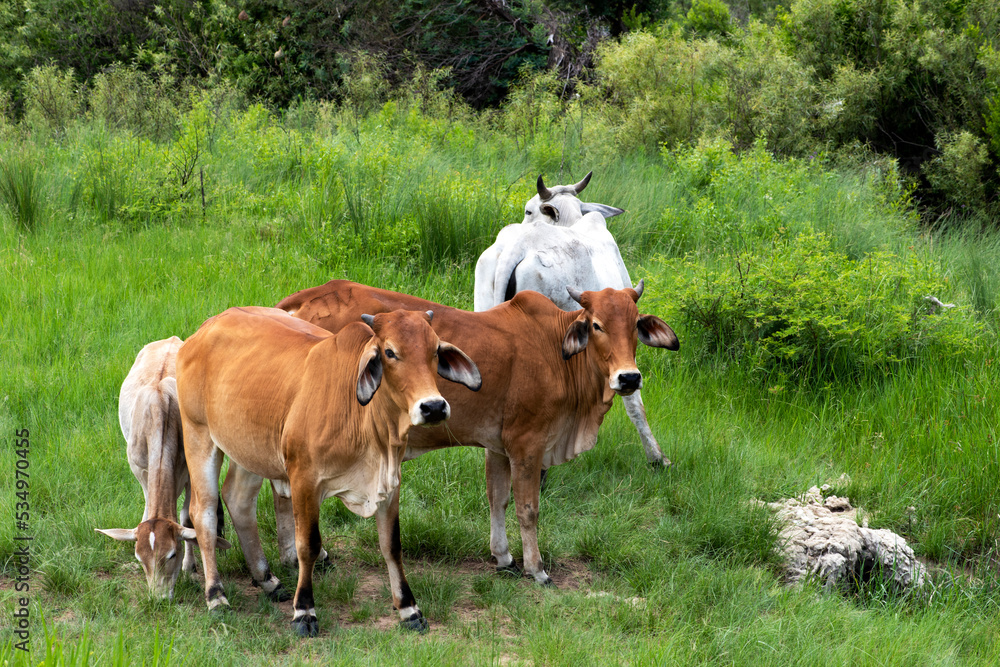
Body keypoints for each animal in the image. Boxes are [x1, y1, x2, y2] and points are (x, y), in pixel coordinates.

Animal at [96, 337, 232, 600]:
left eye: (171, 554)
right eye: (140, 558)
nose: (158, 598)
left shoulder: (190, 473)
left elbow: (188, 518)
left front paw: (189, 567)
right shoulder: (140, 470)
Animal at [176, 307, 481, 636]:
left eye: (435, 350)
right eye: (389, 352)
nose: (434, 407)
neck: (364, 419)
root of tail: (207, 327)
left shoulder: (390, 484)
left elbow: (392, 545)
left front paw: (409, 608)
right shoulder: (304, 479)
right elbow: (308, 545)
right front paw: (304, 611)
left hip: (249, 448)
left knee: (238, 501)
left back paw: (267, 580)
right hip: (199, 435)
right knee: (204, 513)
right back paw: (216, 595)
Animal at [276, 280, 679, 586]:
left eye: (635, 324)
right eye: (596, 325)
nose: (629, 378)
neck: (555, 351)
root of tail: (309, 297)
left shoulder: (498, 446)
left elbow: (497, 499)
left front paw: (504, 557)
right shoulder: (527, 443)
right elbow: (528, 508)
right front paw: (537, 569)